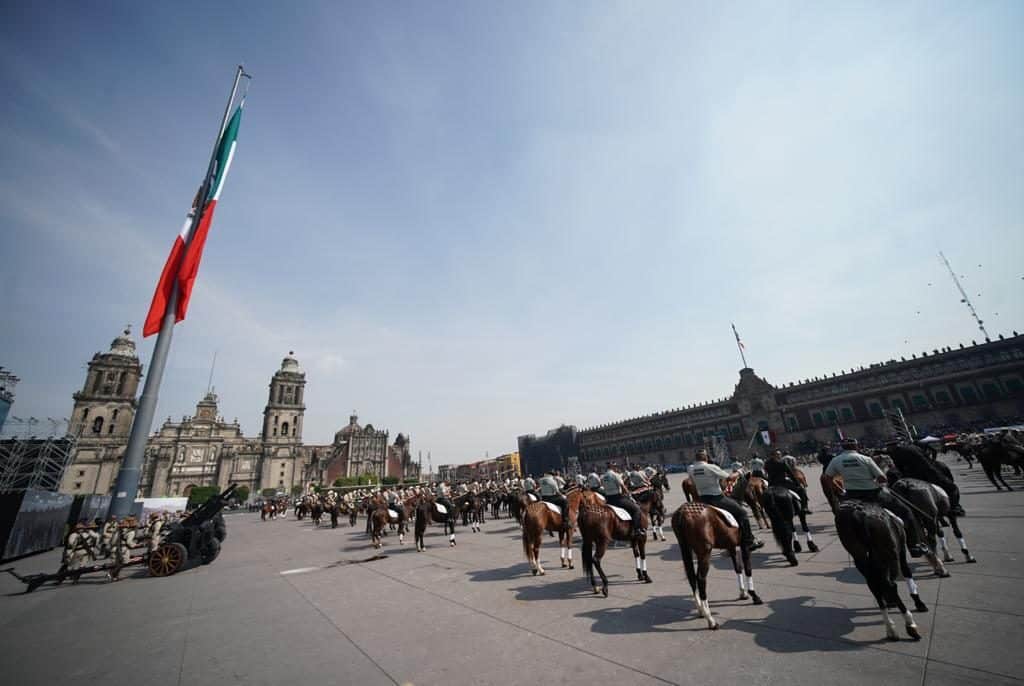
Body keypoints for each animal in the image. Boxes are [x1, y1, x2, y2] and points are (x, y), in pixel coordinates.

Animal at [671, 499, 761, 630]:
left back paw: (701, 611)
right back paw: (711, 620)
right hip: (704, 552)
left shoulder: (731, 546)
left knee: (692, 578)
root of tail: (682, 513)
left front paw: (743, 593)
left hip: (685, 548)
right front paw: (754, 596)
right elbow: (748, 568)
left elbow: (738, 568)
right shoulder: (744, 546)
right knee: (701, 579)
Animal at [835, 499, 925, 647]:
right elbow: (907, 574)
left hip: (860, 556)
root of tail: (858, 515)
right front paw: (919, 602)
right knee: (890, 585)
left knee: (875, 586)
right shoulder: (901, 553)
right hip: (888, 555)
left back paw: (891, 628)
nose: (922, 548)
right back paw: (910, 625)